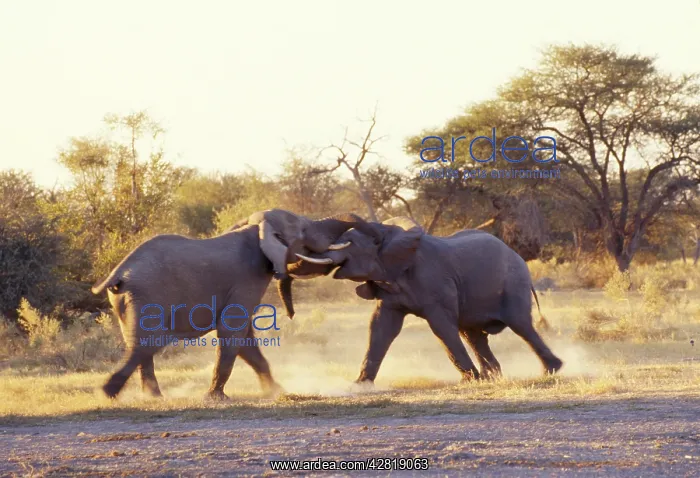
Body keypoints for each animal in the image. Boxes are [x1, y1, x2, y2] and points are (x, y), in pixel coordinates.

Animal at [91, 210, 369, 401]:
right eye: (303, 229)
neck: (256, 229)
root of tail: (119, 272)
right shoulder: (247, 278)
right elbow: (232, 331)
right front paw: (216, 398)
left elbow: (245, 338)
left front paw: (276, 391)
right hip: (148, 296)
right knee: (147, 343)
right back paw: (108, 392)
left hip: (126, 300)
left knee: (138, 344)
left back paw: (153, 397)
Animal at [289, 216, 564, 384]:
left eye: (348, 243)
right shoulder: (390, 288)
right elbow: (380, 327)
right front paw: (359, 385)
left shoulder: (434, 282)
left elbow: (441, 327)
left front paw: (469, 381)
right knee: (473, 334)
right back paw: (493, 378)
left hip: (514, 284)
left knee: (521, 326)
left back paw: (551, 370)